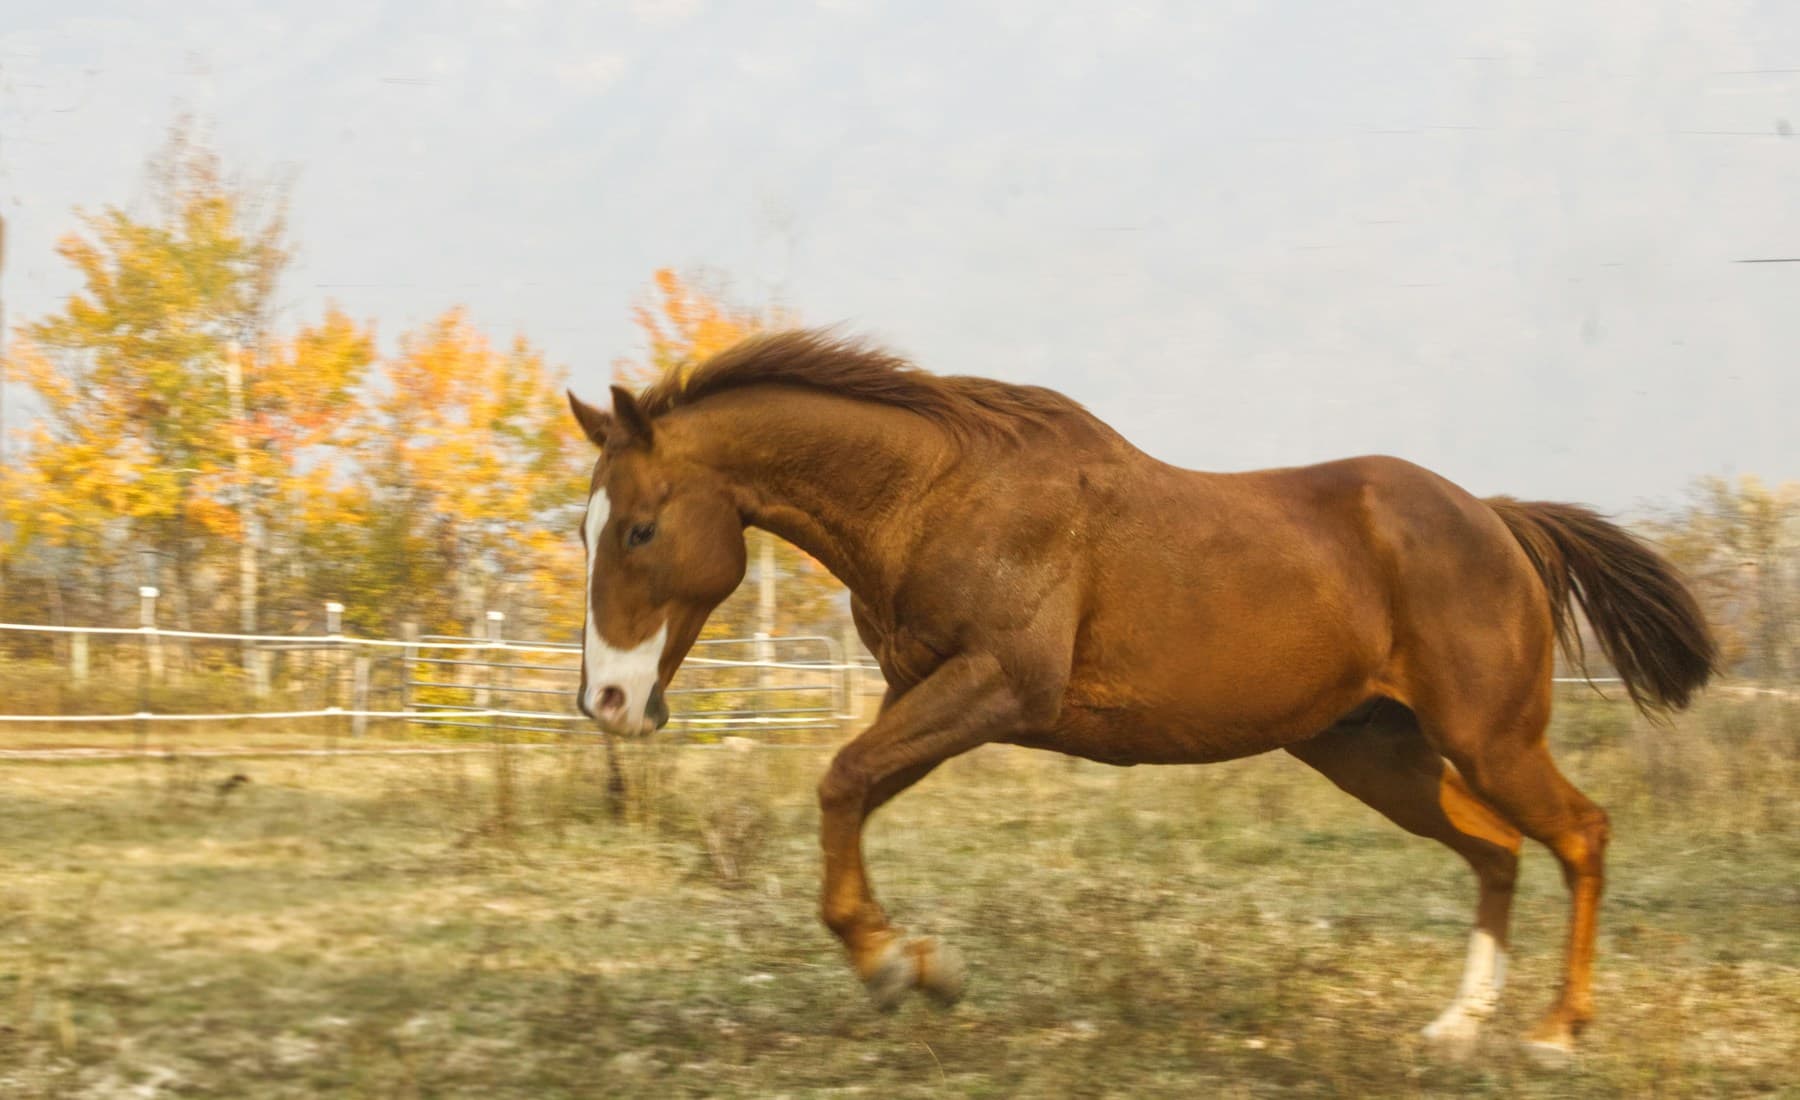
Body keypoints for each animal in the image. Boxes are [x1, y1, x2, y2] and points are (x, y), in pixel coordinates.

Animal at [566, 330, 1715, 1055]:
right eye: (588, 526)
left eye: (640, 528)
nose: (608, 702)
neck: (939, 495)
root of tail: (1498, 518)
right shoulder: (925, 694)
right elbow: (851, 788)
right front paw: (918, 964)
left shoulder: (999, 688)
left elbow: (842, 780)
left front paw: (897, 966)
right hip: (1373, 750)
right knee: (1499, 849)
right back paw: (1456, 1028)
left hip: (1487, 736)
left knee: (1580, 834)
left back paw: (1557, 1034)